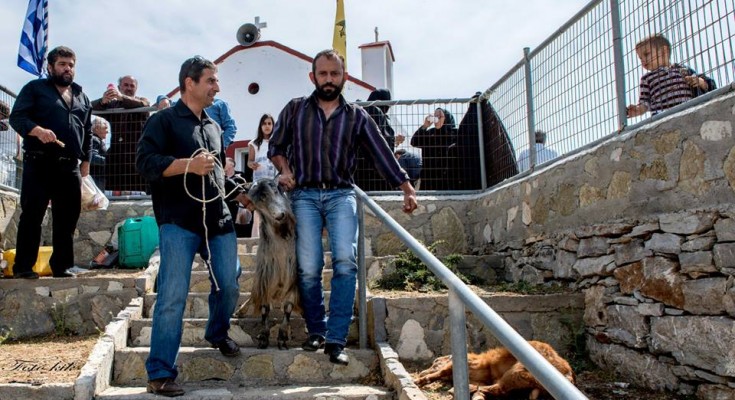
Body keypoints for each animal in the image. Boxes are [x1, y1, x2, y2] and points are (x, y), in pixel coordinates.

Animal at [236, 178, 300, 349]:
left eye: (276, 191)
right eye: (256, 203)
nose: (280, 215)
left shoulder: (294, 279)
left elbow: (288, 307)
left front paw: (282, 338)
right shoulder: (265, 277)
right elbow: (264, 308)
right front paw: (263, 338)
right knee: (253, 295)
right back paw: (241, 311)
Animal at [415, 340, 575, 400]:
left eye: (435, 362)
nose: (421, 371)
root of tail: (567, 372)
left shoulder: (468, 363)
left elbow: (440, 372)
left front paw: (419, 380)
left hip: (516, 371)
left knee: (500, 388)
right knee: (499, 389)